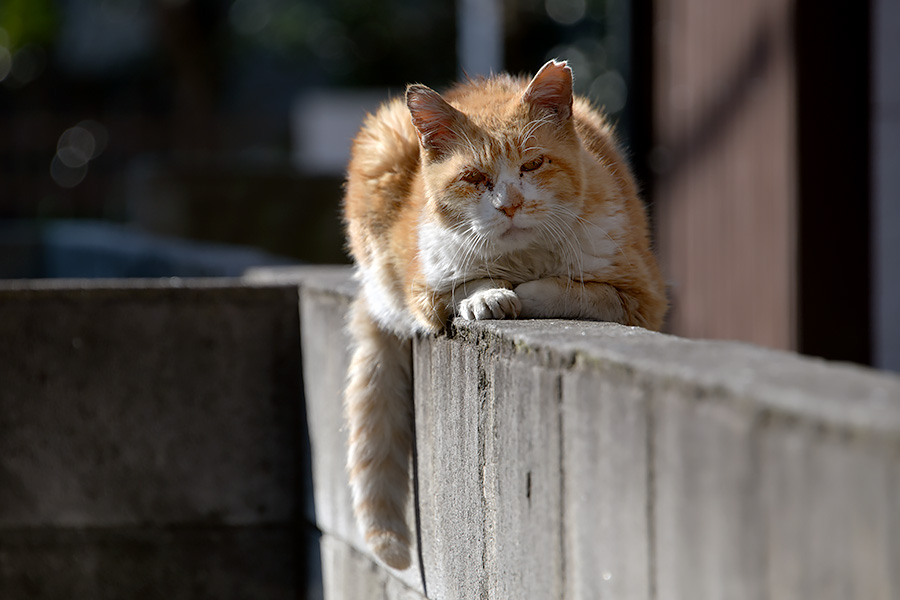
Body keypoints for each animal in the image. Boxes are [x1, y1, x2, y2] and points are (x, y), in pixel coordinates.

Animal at [342, 58, 664, 568]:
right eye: (475, 178)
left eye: (533, 164)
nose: (510, 205)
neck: (521, 257)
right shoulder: (424, 288)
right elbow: (464, 284)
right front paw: (489, 296)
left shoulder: (641, 297)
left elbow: (572, 291)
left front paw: (525, 290)